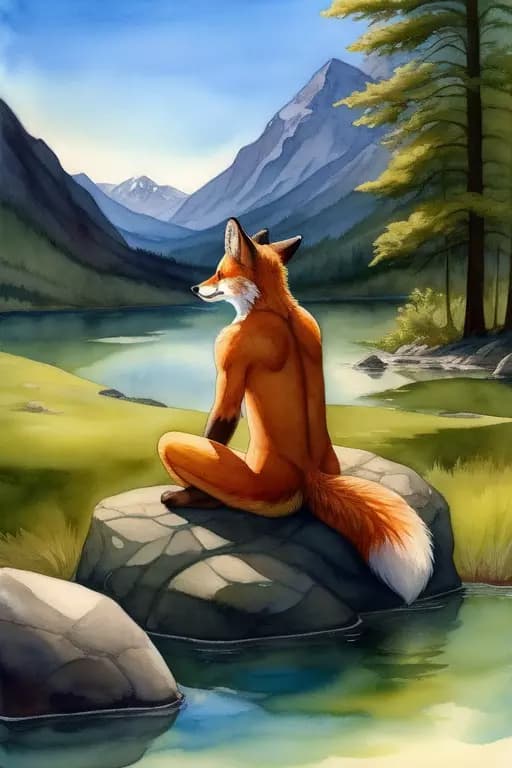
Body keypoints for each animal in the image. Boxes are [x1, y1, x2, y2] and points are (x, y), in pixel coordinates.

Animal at [158, 218, 434, 604]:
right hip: (331, 464)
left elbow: (220, 421)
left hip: (218, 467)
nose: (195, 287)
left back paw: (190, 497)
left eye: (219, 273)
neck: (276, 308)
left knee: (179, 453)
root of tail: (309, 475)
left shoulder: (229, 357)